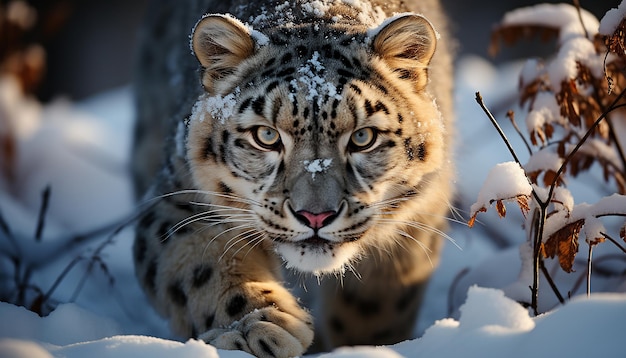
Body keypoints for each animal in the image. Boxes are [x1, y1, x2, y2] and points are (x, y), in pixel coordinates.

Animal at [132, 0, 454, 356]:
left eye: (363, 137)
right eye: (266, 136)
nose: (315, 216)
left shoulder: (417, 222)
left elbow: (373, 309)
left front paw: (359, 347)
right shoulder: (180, 199)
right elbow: (199, 266)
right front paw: (257, 327)